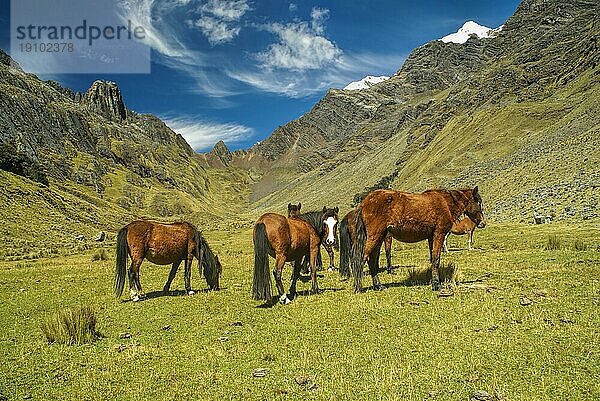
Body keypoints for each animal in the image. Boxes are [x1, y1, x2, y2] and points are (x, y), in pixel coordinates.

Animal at [352, 188, 488, 290]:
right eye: (478, 202)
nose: (483, 223)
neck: (445, 203)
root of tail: (364, 203)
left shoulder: (431, 237)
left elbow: (432, 259)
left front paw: (433, 281)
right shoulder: (439, 234)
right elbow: (436, 259)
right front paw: (436, 285)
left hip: (379, 238)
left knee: (371, 260)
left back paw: (378, 286)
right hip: (375, 236)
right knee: (362, 258)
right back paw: (358, 287)